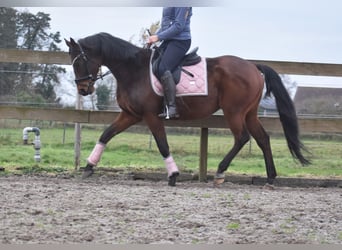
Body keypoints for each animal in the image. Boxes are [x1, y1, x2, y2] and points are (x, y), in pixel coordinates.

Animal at [65, 32, 310, 187]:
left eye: (80, 62)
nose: (83, 89)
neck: (133, 70)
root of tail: (251, 65)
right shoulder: (130, 114)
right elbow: (106, 135)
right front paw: (88, 167)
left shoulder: (150, 116)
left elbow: (162, 145)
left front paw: (173, 175)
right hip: (249, 113)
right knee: (263, 138)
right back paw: (270, 177)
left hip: (234, 112)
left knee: (242, 137)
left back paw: (220, 172)